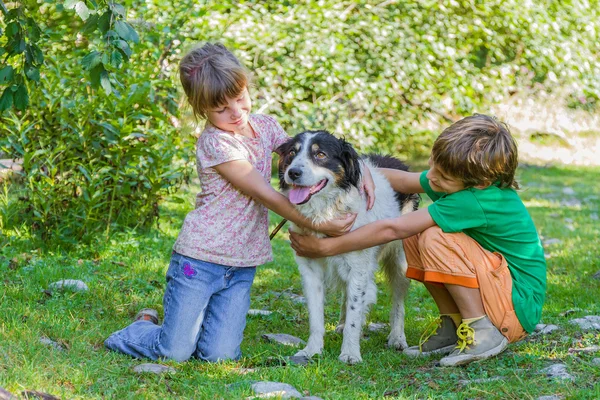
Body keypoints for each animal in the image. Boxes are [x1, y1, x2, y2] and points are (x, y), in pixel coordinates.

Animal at [276, 130, 418, 364]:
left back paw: (397, 337)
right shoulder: (310, 269)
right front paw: (312, 350)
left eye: (320, 154)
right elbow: (317, 316)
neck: (327, 211)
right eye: (291, 153)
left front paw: (350, 353)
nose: (293, 172)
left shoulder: (359, 267)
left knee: (398, 302)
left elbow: (355, 310)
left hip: (400, 262)